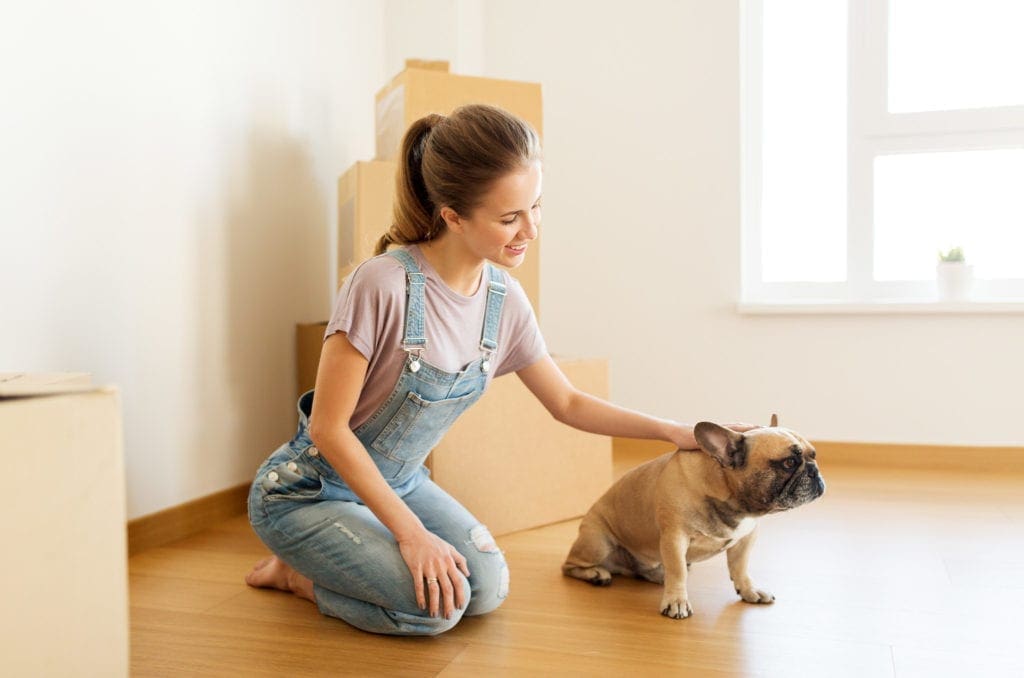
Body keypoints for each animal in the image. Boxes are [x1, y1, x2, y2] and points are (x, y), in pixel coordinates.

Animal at [561, 413, 823, 622]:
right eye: (789, 463)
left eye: (814, 455)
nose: (815, 471)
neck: (733, 501)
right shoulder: (674, 537)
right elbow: (678, 571)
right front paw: (676, 601)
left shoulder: (746, 537)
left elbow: (740, 568)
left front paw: (749, 591)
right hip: (598, 542)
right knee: (570, 566)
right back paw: (596, 574)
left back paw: (655, 574)